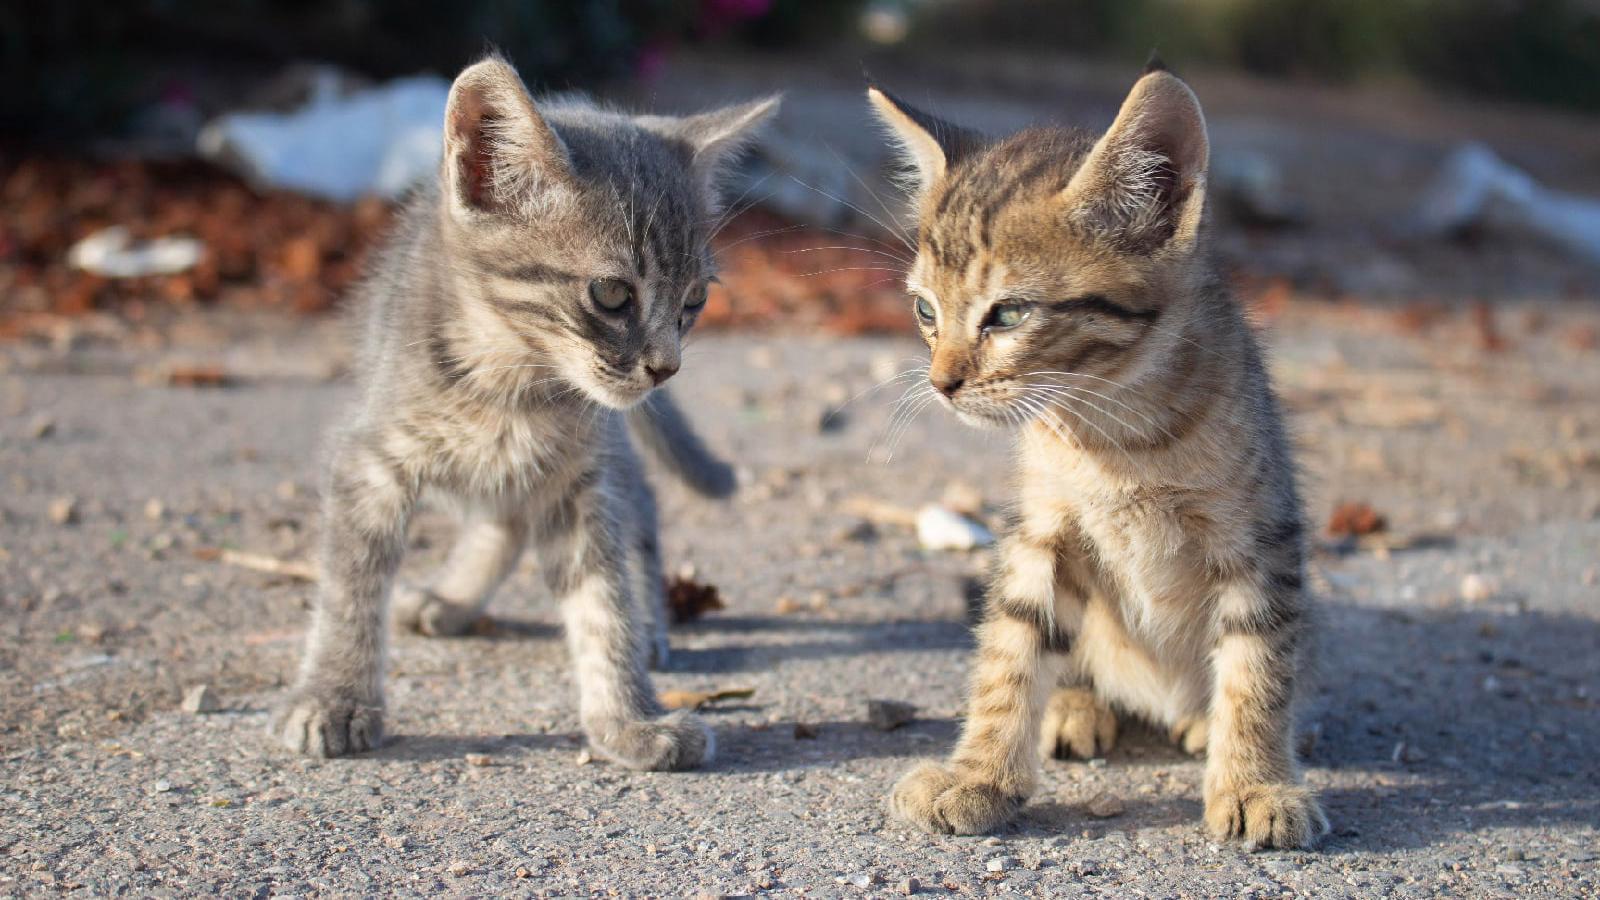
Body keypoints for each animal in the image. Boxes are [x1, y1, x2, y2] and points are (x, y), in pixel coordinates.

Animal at [272, 57, 777, 771]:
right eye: (612, 293)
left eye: (694, 300)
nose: (667, 368)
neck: (510, 382)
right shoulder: (368, 457)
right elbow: (349, 588)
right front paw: (334, 698)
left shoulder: (582, 476)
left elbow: (602, 600)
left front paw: (628, 716)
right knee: (507, 513)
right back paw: (453, 599)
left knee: (635, 502)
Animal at [870, 64, 1331, 845]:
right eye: (926, 311)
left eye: (1009, 314)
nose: (940, 382)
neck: (1118, 435)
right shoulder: (1041, 530)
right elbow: (1012, 648)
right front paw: (980, 774)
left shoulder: (1261, 538)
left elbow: (1259, 667)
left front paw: (1257, 782)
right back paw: (1076, 704)